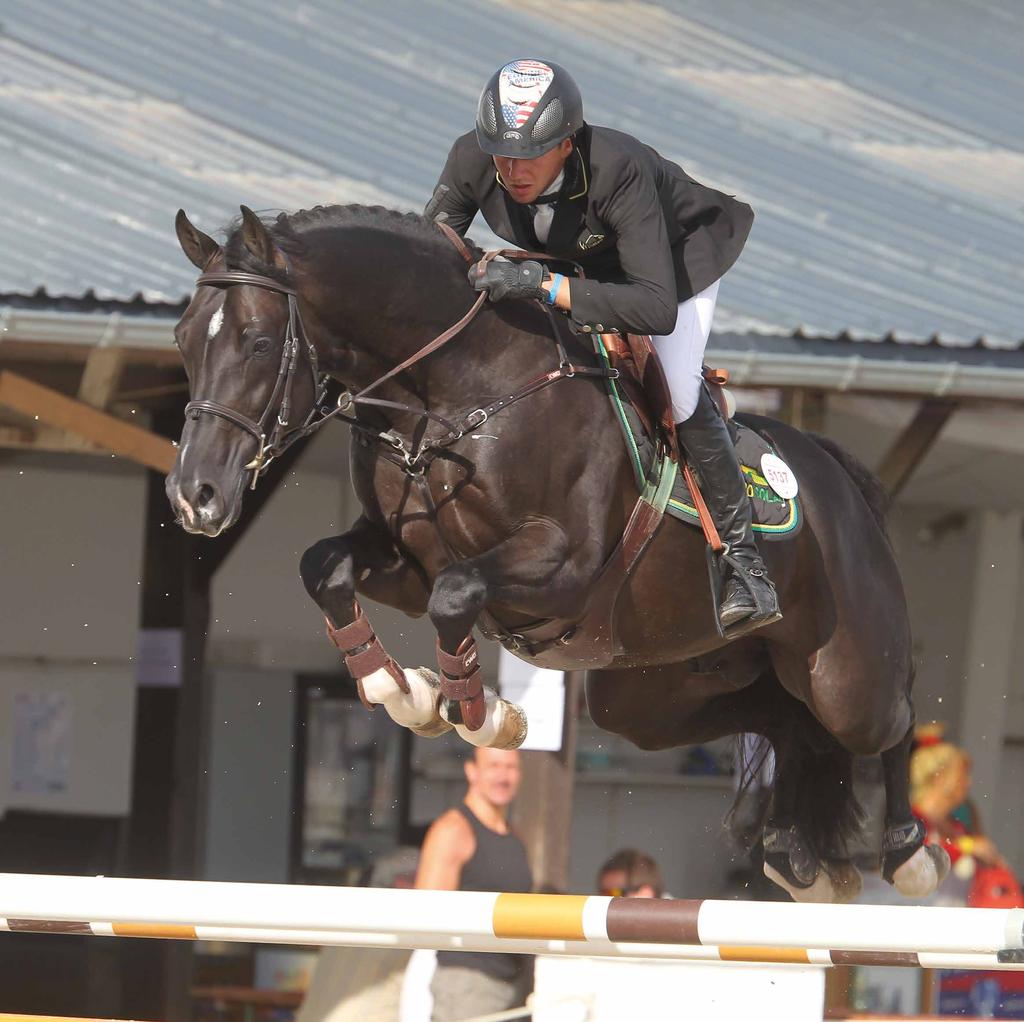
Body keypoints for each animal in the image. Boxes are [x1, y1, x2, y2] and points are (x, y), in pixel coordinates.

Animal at [163, 201, 946, 905]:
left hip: (845, 673)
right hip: (652, 694)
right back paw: (792, 852)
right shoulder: (403, 563)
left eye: (258, 344)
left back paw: (908, 853)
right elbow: (326, 569)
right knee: (784, 720)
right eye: (182, 339)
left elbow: (456, 593)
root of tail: (836, 473)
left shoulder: (561, 566)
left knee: (890, 717)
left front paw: (478, 713)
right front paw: (400, 690)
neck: (455, 388)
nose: (194, 496)